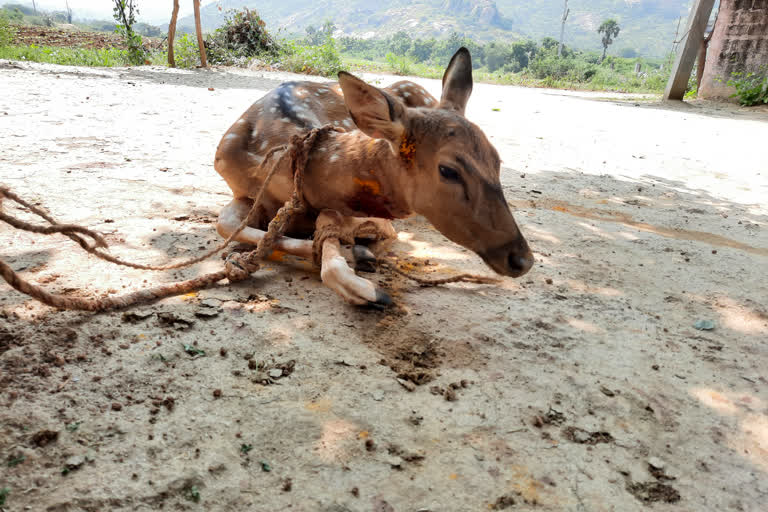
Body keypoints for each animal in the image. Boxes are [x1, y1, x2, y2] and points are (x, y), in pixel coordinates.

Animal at [212, 48, 536, 306]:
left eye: (497, 159)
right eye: (448, 170)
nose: (522, 259)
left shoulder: (373, 214)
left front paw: (363, 271)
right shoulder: (241, 189)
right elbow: (225, 225)